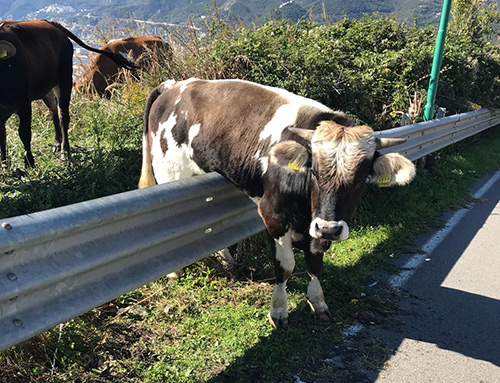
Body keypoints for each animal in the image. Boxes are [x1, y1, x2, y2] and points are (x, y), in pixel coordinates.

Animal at [0, 18, 137, 167]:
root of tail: (51, 22)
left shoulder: (24, 103)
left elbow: (24, 133)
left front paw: (29, 162)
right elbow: (2, 135)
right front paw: (4, 164)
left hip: (65, 80)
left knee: (63, 116)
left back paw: (65, 152)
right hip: (48, 88)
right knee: (53, 111)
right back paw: (57, 144)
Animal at [139, 79, 416, 328]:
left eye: (361, 178)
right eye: (314, 172)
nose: (330, 229)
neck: (306, 203)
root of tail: (175, 85)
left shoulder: (315, 225)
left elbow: (315, 263)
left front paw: (319, 302)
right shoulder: (273, 214)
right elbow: (285, 265)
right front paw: (279, 311)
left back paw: (227, 262)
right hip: (170, 174)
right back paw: (174, 272)